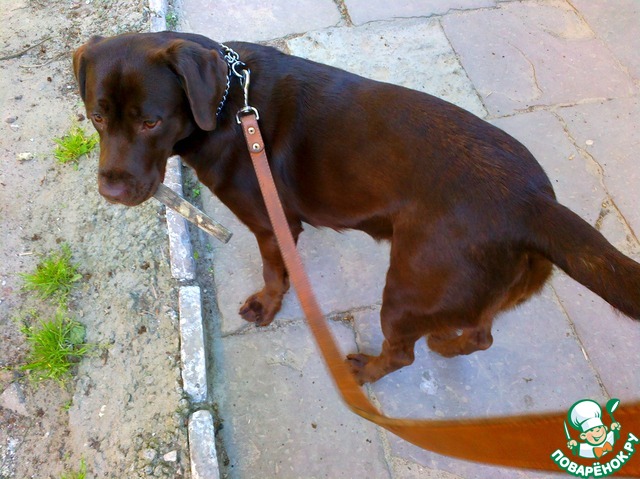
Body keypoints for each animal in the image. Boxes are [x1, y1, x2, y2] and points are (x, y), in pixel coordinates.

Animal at [73, 32, 640, 384]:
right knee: (480, 335)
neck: (229, 101)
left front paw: (267, 304)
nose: (112, 191)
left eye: (151, 122)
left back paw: (366, 371)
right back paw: (447, 344)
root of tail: (536, 204)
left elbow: (274, 270)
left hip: (410, 290)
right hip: (482, 292)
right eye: (98, 117)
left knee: (403, 352)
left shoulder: (270, 223)